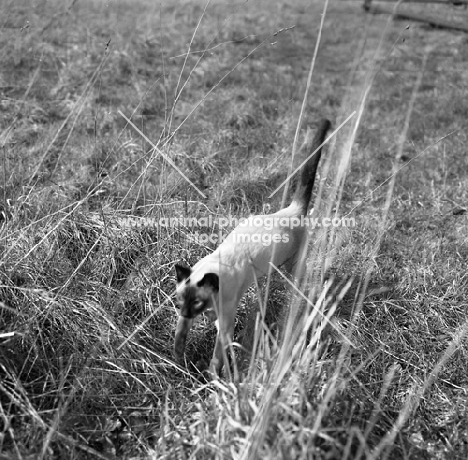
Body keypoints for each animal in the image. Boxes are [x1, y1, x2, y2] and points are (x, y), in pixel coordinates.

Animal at [174, 118, 330, 374]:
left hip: (294, 266)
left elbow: (216, 358)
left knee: (302, 284)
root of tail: (292, 210)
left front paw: (211, 378)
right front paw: (178, 358)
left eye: (197, 301)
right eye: (180, 301)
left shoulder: (224, 326)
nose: (186, 311)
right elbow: (180, 336)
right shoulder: (192, 319)